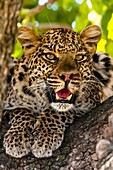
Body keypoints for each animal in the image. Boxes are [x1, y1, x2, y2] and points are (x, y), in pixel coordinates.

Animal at [2, 24, 113, 158]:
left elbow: (56, 111)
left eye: (79, 57)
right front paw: (17, 137)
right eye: (50, 56)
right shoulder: (8, 104)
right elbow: (21, 111)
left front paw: (45, 136)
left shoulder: (93, 98)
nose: (67, 76)